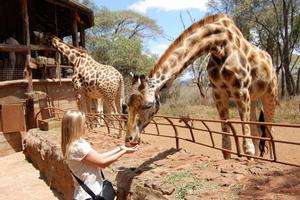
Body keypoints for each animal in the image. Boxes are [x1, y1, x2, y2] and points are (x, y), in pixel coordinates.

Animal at [125, 13, 278, 159]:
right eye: (127, 105)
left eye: (148, 105)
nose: (129, 139)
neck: (219, 45)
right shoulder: (218, 92)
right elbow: (226, 145)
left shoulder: (241, 91)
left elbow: (247, 146)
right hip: (253, 98)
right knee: (256, 131)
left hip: (270, 94)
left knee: (270, 132)